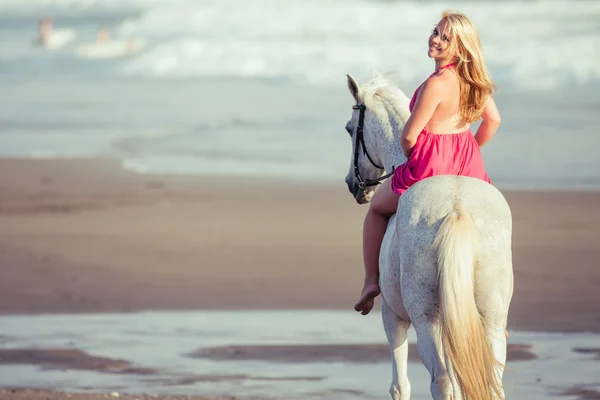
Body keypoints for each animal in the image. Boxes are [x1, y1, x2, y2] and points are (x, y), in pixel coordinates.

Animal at [344, 72, 512, 400]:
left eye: (348, 129)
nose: (352, 184)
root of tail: (458, 208)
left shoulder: (392, 317)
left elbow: (400, 385)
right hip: (493, 318)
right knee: (492, 381)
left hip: (427, 321)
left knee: (443, 381)